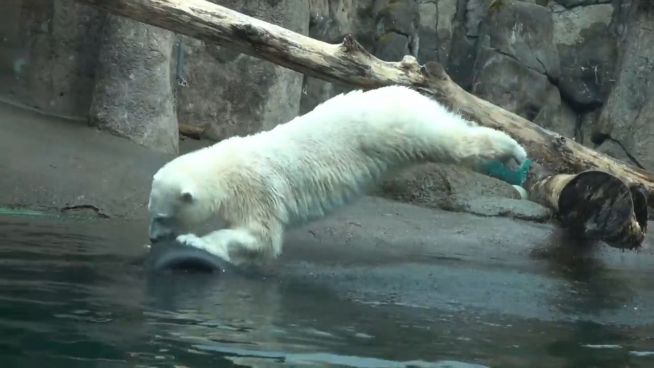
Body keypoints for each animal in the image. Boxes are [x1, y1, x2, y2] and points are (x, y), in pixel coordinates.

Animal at [147, 85, 528, 266]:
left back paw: (515, 153)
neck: (228, 167)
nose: (152, 237)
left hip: (399, 129)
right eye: (152, 213)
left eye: (161, 215)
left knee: (455, 142)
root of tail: (407, 92)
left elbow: (261, 237)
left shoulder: (259, 189)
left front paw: (194, 241)